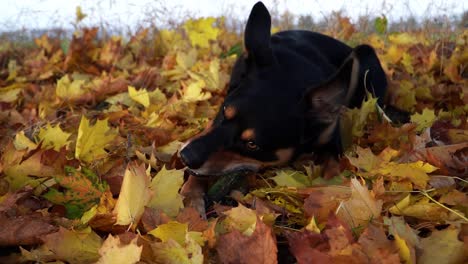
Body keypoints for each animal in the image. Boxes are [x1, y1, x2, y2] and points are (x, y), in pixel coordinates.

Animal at [177, 1, 386, 205]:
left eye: (252, 145)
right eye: (224, 111)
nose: (185, 157)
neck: (293, 73)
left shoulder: (331, 137)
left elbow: (333, 170)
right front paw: (191, 195)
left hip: (364, 56)